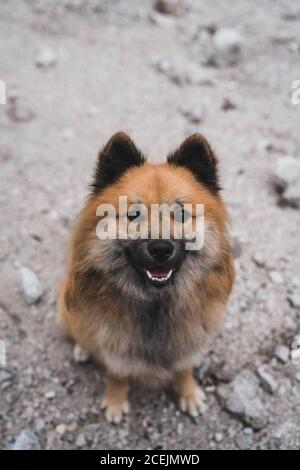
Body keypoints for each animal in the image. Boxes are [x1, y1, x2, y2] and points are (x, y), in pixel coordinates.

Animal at [57, 131, 236, 422]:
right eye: (133, 214)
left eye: (182, 213)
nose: (161, 248)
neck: (156, 303)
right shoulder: (115, 344)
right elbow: (117, 374)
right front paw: (116, 401)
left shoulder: (190, 338)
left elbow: (184, 368)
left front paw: (188, 393)